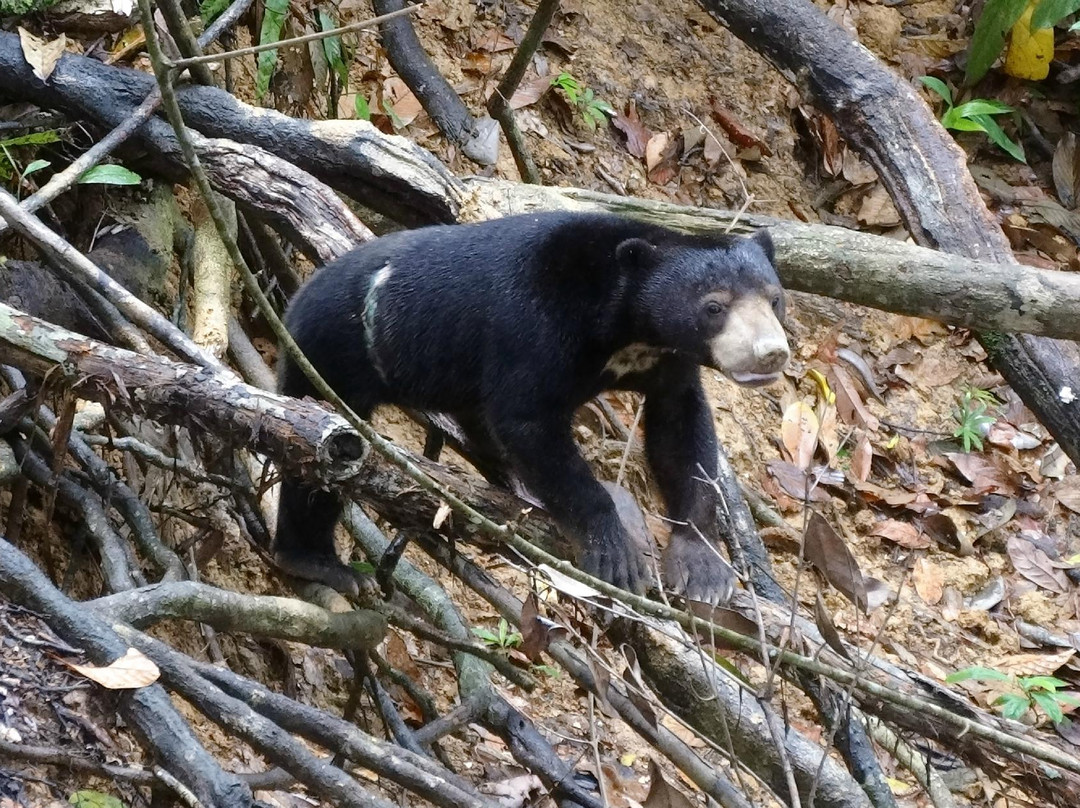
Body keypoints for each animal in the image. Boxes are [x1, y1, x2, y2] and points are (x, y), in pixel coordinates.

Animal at [274, 211, 790, 604]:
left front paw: (704, 569)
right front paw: (614, 553)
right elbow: (526, 420)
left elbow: (681, 426)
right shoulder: (532, 323)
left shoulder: (667, 361)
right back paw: (316, 562)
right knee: (316, 468)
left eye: (775, 300)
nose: (771, 353)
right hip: (331, 354)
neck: (623, 327)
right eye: (714, 306)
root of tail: (294, 299)